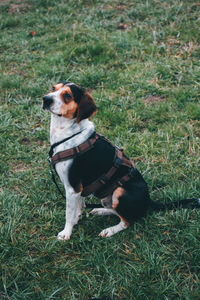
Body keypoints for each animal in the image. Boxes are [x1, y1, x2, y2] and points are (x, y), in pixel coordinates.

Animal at [42, 81, 200, 240]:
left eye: (67, 96)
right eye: (53, 88)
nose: (45, 99)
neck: (69, 135)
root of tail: (148, 201)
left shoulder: (72, 188)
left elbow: (69, 213)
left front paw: (66, 233)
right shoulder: (78, 189)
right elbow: (78, 206)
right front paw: (77, 219)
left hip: (119, 191)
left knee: (126, 221)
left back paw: (109, 230)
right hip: (107, 197)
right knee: (115, 211)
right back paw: (101, 211)